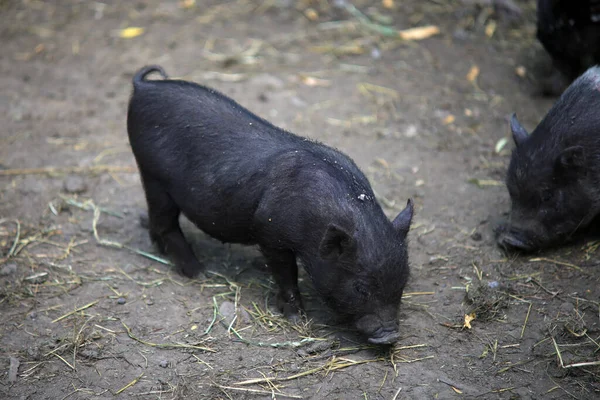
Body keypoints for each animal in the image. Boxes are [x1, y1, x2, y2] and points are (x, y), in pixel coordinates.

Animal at [127, 65, 412, 344]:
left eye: (404, 280)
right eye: (360, 287)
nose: (390, 336)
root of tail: (144, 87)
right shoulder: (269, 232)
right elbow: (286, 273)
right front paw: (297, 318)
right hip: (153, 176)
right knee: (166, 223)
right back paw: (199, 272)